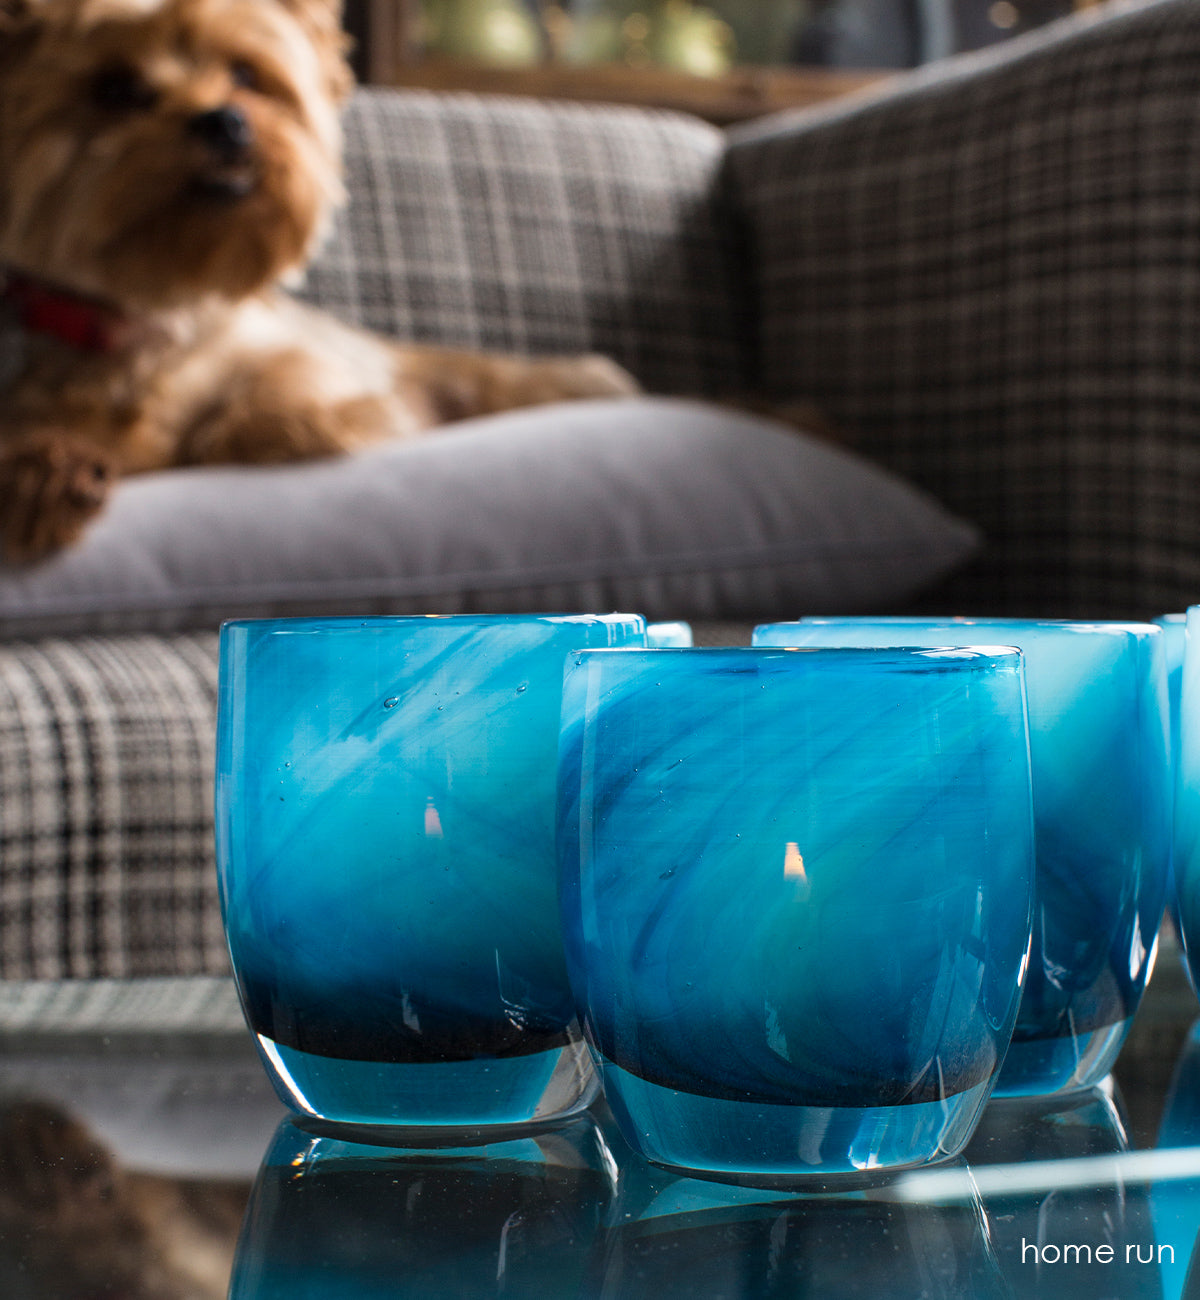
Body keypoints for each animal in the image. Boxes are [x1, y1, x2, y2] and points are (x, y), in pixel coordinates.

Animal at [0, 0, 637, 561]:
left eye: (244, 74)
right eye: (113, 90)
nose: (225, 120)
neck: (150, 319)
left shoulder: (304, 358)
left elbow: (280, 386)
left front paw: (285, 426)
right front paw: (41, 474)